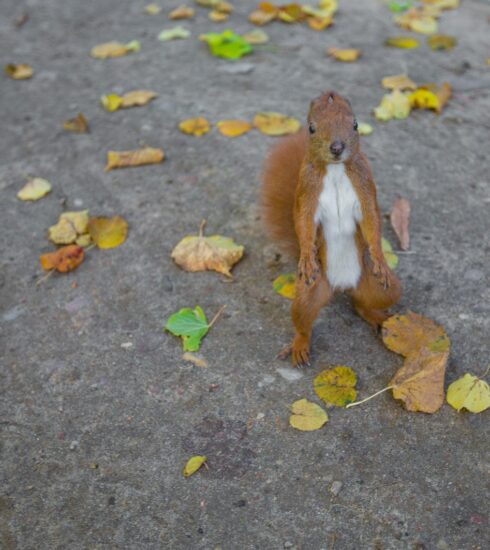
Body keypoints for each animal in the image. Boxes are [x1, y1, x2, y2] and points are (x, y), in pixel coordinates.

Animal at [262, 90, 400, 368]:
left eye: (356, 124)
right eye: (311, 128)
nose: (337, 147)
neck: (336, 169)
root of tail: (342, 286)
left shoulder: (364, 183)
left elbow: (371, 220)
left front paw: (379, 256)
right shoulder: (307, 189)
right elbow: (303, 221)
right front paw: (306, 254)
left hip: (382, 287)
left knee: (361, 303)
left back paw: (377, 316)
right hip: (310, 292)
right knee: (303, 318)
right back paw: (299, 345)